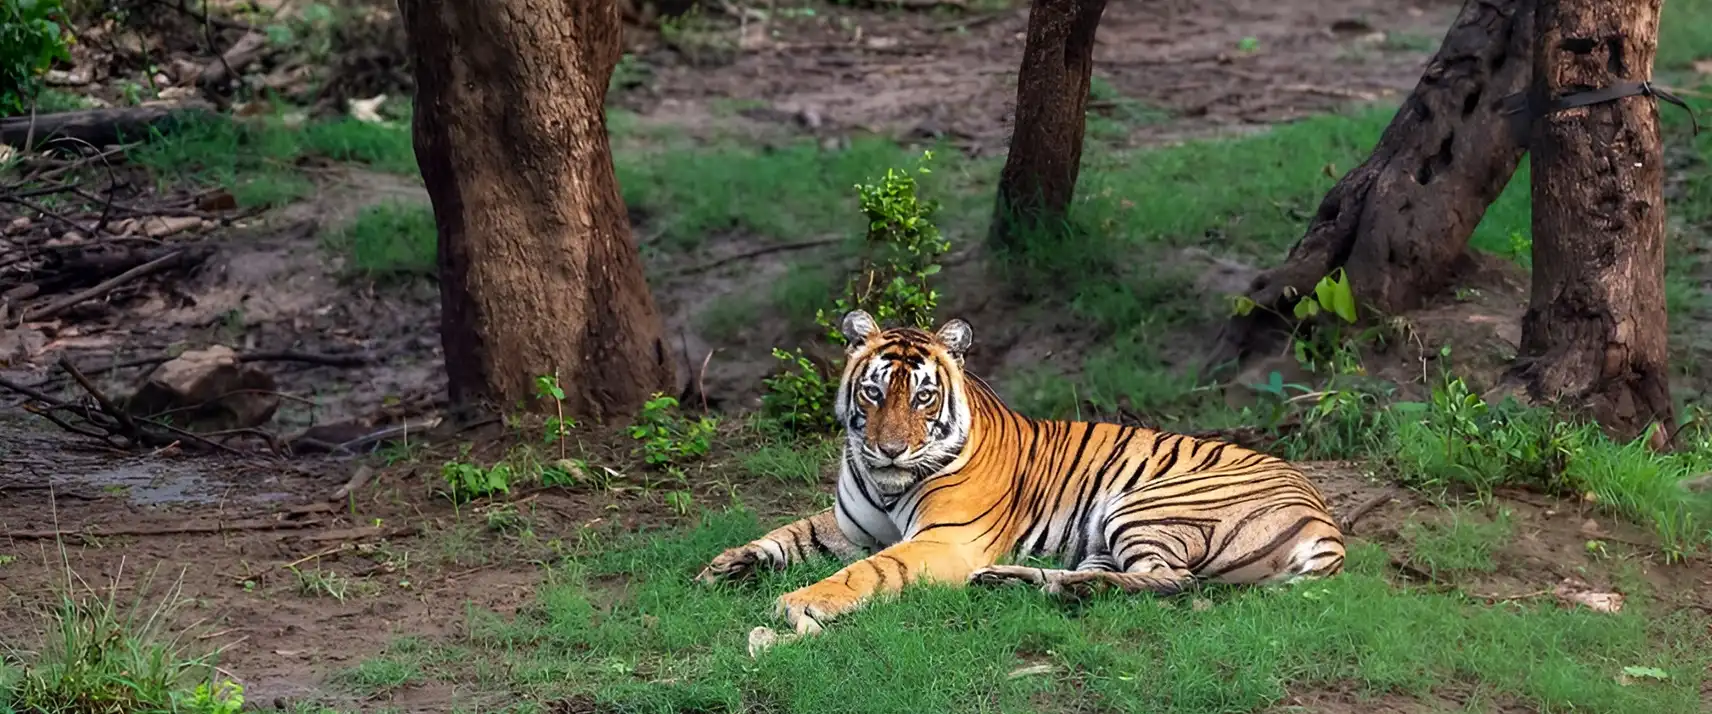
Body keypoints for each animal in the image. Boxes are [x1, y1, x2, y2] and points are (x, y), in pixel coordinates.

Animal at [696, 309, 1346, 635]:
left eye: (923, 398)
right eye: (874, 392)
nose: (889, 450)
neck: (886, 486)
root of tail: (1327, 522)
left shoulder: (944, 541)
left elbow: (869, 572)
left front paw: (799, 603)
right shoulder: (851, 524)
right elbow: (788, 533)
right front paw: (725, 565)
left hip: (1146, 504)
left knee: (1172, 582)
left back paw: (1061, 588)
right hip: (1106, 533)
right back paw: (1017, 581)